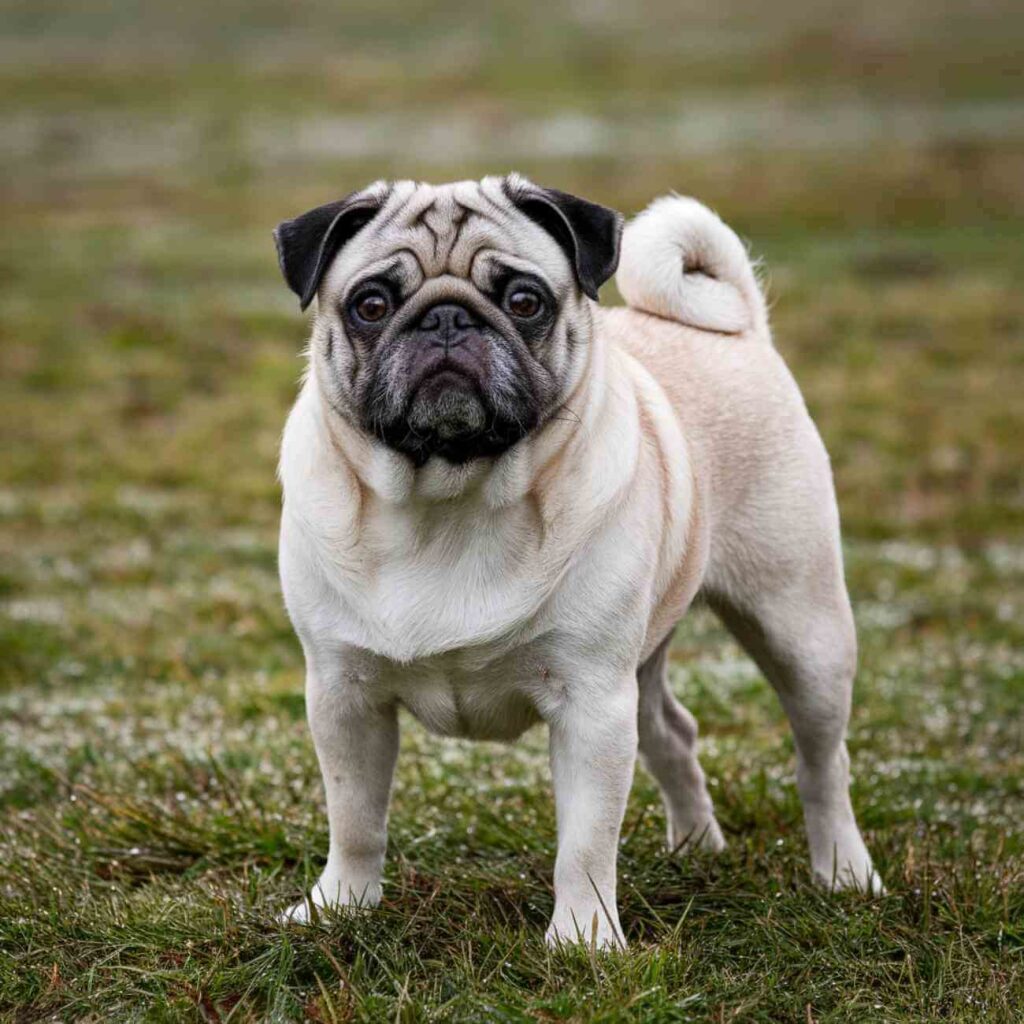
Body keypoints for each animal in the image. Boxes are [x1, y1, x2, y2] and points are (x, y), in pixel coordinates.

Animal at [272, 174, 880, 942]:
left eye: (524, 301)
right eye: (371, 304)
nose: (446, 319)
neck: (451, 495)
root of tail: (739, 329)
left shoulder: (591, 703)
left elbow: (587, 842)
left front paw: (584, 940)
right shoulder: (344, 694)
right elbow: (353, 817)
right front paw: (338, 907)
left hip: (801, 631)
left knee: (823, 762)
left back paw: (844, 873)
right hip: (645, 664)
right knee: (672, 733)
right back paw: (695, 849)